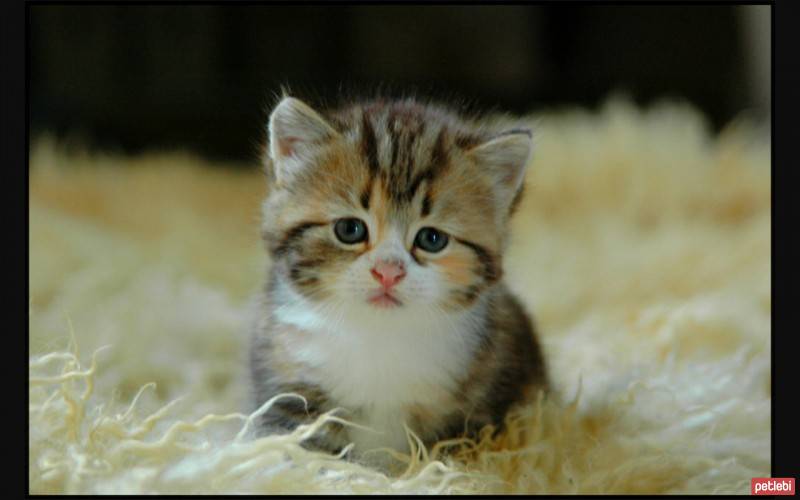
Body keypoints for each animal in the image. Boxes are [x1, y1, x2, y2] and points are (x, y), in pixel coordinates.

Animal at [248, 94, 552, 460]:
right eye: (349, 230)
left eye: (431, 239)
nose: (388, 271)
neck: (378, 335)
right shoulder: (285, 388)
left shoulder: (483, 408)